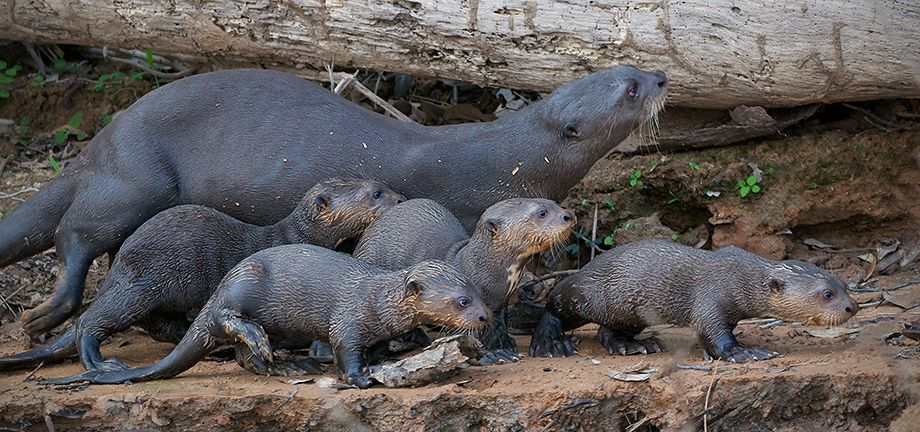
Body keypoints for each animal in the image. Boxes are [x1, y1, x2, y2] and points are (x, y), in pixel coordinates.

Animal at [0, 66, 667, 336]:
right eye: (629, 91)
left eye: (627, 66)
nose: (660, 77)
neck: (507, 157)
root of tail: (104, 134)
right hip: (134, 178)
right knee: (76, 236)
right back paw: (46, 313)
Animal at [0, 179, 402, 371]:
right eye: (375, 193)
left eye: (383, 186)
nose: (400, 199)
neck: (294, 235)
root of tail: (118, 264)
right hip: (140, 286)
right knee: (91, 322)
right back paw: (100, 362)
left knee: (163, 327)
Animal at [41, 245, 490, 389]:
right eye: (461, 301)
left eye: (477, 292)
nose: (485, 317)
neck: (379, 301)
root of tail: (226, 279)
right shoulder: (349, 319)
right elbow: (345, 348)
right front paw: (361, 378)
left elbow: (376, 347)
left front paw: (383, 359)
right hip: (244, 286)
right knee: (224, 320)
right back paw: (261, 341)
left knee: (243, 358)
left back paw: (285, 364)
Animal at [348, 198, 573, 364]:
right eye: (542, 213)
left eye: (554, 203)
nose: (569, 215)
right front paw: (493, 355)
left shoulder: (501, 303)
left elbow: (500, 323)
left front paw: (505, 343)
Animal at [529, 240, 859, 362]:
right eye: (826, 294)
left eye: (843, 286)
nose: (852, 306)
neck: (738, 278)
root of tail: (587, 267)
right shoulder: (711, 298)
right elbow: (712, 334)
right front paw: (745, 352)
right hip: (585, 295)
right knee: (554, 304)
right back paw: (550, 342)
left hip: (628, 312)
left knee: (607, 331)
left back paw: (633, 346)